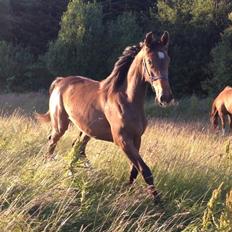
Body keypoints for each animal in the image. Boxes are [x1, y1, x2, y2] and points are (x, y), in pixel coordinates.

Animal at [36, 31, 173, 203]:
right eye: (149, 61)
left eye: (168, 60)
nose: (165, 97)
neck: (127, 99)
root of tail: (60, 81)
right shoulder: (122, 140)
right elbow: (145, 170)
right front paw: (158, 202)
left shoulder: (136, 139)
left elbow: (134, 170)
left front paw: (127, 191)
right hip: (60, 124)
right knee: (52, 143)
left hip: (86, 130)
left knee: (77, 148)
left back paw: (74, 174)